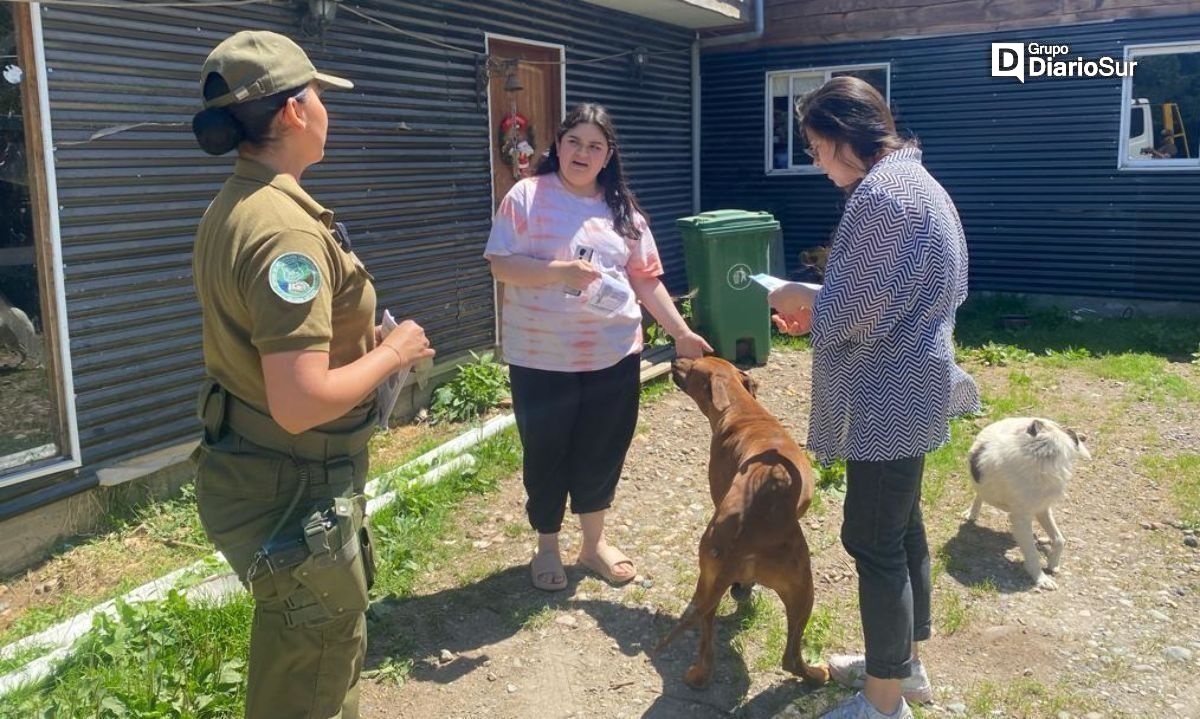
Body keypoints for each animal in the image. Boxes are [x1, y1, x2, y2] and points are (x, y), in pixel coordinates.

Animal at [652, 357, 830, 691]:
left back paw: (699, 675)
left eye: (694, 365)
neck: (743, 409)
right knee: (789, 657)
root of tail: (743, 538)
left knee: (709, 635)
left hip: (713, 581)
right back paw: (815, 675)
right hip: (802, 588)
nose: (675, 358)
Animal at [964, 415, 1089, 590]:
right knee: (980, 494)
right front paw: (1040, 578)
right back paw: (973, 512)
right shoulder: (1020, 519)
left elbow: (1060, 540)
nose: (1082, 436)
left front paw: (1053, 562)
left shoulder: (1042, 508)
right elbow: (1032, 553)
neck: (1041, 456)